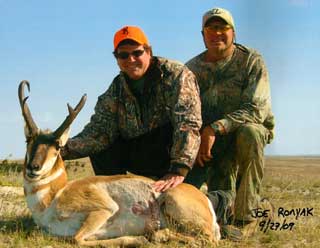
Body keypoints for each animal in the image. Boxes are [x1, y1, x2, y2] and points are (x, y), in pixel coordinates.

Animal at [19, 81, 220, 246]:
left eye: (58, 146)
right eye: (28, 140)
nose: (33, 168)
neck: (55, 196)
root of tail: (204, 199)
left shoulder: (105, 208)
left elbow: (76, 239)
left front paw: (136, 240)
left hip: (173, 202)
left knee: (206, 238)